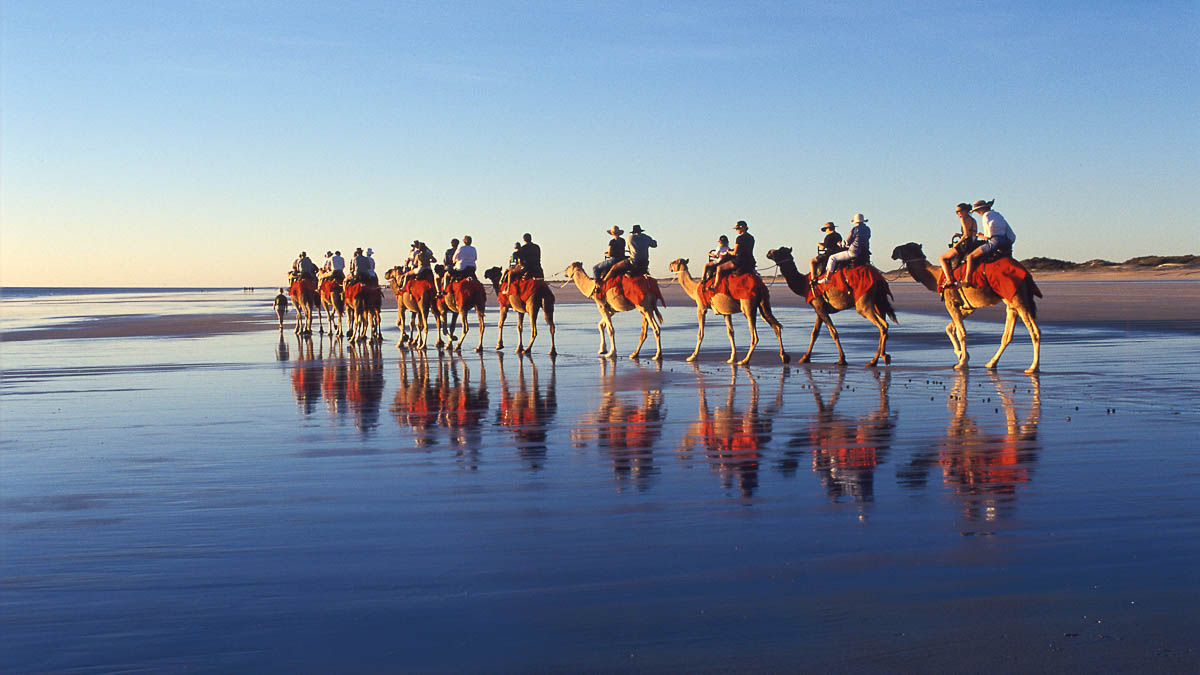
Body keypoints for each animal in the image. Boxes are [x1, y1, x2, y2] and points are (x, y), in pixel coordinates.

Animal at [763, 246, 897, 365]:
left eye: (780, 252)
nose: (769, 252)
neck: (804, 284)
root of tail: (879, 278)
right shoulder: (819, 308)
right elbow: (814, 333)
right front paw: (805, 358)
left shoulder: (819, 306)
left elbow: (833, 332)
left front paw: (841, 359)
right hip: (878, 301)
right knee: (883, 325)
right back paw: (880, 358)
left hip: (864, 301)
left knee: (882, 325)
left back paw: (876, 360)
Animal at [892, 241, 1041, 369]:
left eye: (906, 247)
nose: (893, 252)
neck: (938, 277)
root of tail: (1026, 274)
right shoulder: (967, 307)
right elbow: (950, 328)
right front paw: (961, 355)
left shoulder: (951, 302)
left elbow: (961, 333)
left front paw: (962, 362)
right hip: (1010, 300)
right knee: (1007, 335)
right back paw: (991, 363)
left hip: (1018, 298)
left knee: (1034, 331)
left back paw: (1033, 367)